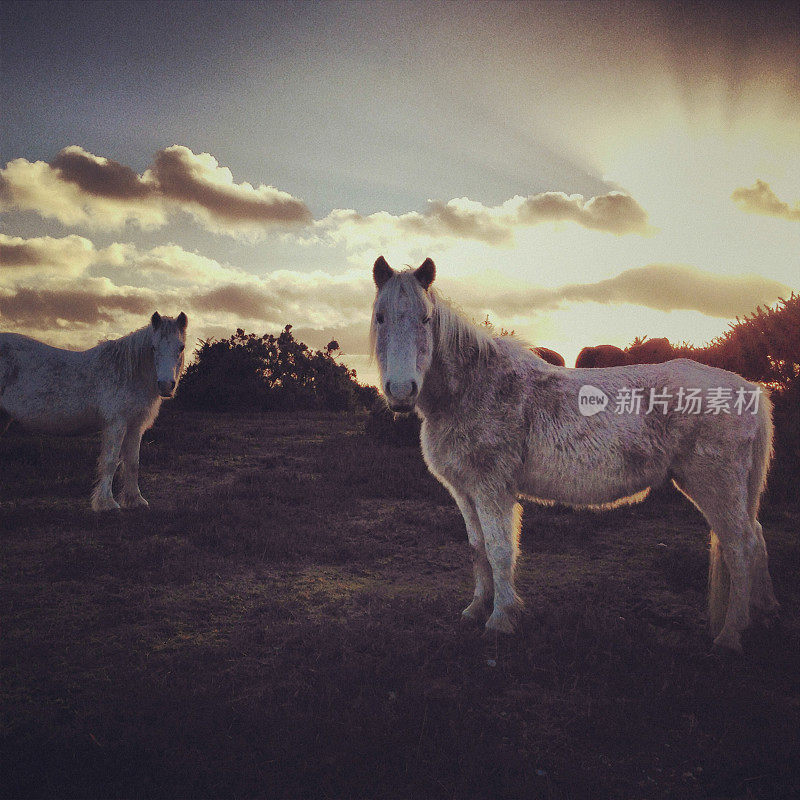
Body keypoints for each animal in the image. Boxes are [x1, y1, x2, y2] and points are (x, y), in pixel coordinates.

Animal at [0, 312, 188, 512]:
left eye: (181, 347)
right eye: (153, 347)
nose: (166, 385)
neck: (127, 373)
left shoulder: (135, 426)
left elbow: (132, 462)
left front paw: (135, 500)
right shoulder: (116, 424)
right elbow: (110, 461)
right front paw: (106, 503)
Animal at [372, 260, 780, 652]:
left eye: (426, 319)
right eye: (380, 317)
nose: (401, 391)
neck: (474, 389)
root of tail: (748, 388)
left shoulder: (492, 490)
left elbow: (500, 550)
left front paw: (500, 619)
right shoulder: (465, 491)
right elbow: (478, 549)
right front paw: (475, 609)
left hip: (714, 485)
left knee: (740, 546)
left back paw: (730, 634)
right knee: (756, 539)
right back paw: (762, 615)